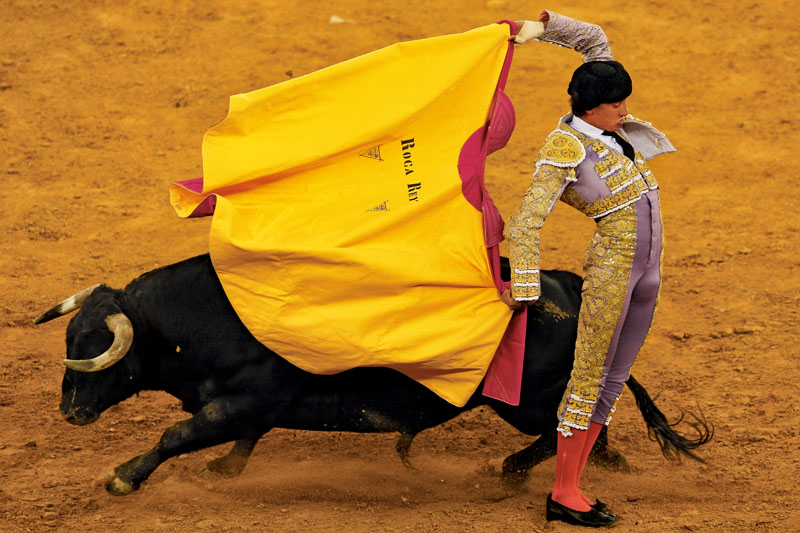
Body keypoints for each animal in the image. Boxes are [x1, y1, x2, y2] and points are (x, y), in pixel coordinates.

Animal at [34, 254, 708, 494]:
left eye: (96, 348)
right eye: (70, 339)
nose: (70, 412)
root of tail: (572, 287)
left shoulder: (240, 402)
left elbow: (176, 436)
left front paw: (123, 478)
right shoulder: (250, 411)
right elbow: (236, 444)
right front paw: (223, 471)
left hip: (526, 401)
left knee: (560, 431)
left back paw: (511, 471)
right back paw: (608, 464)